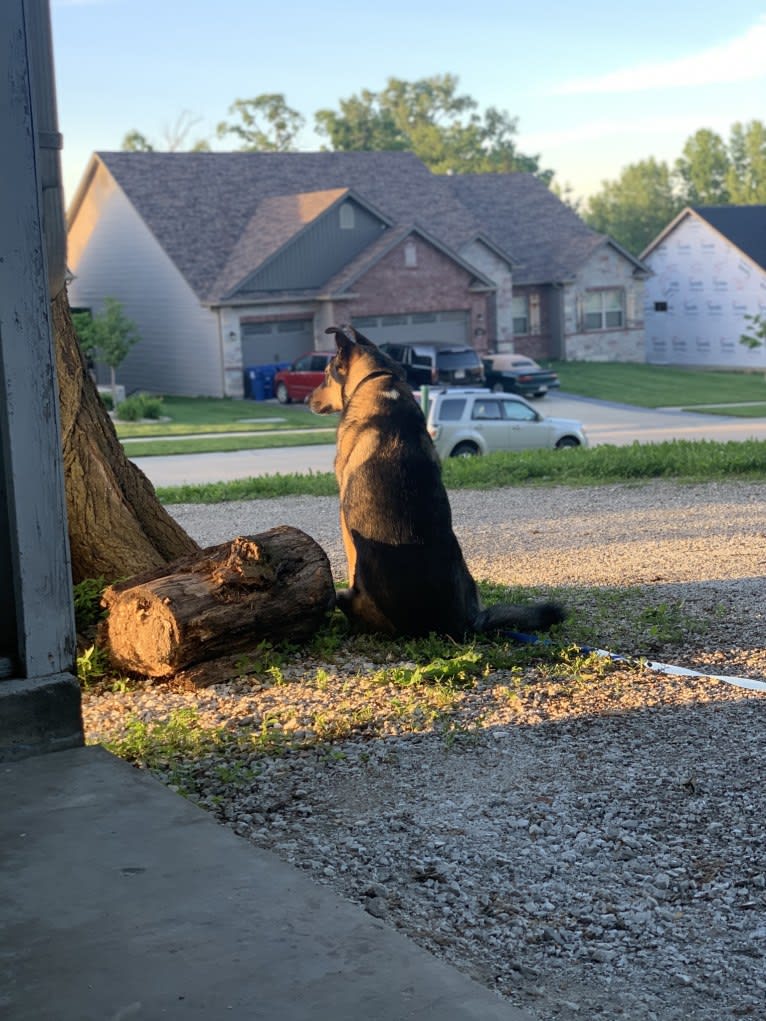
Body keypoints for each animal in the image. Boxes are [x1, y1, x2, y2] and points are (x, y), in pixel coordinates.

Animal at [308, 322, 567, 637]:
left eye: (325, 374)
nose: (307, 400)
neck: (378, 378)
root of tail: (460, 624)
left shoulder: (344, 518)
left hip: (346, 597)